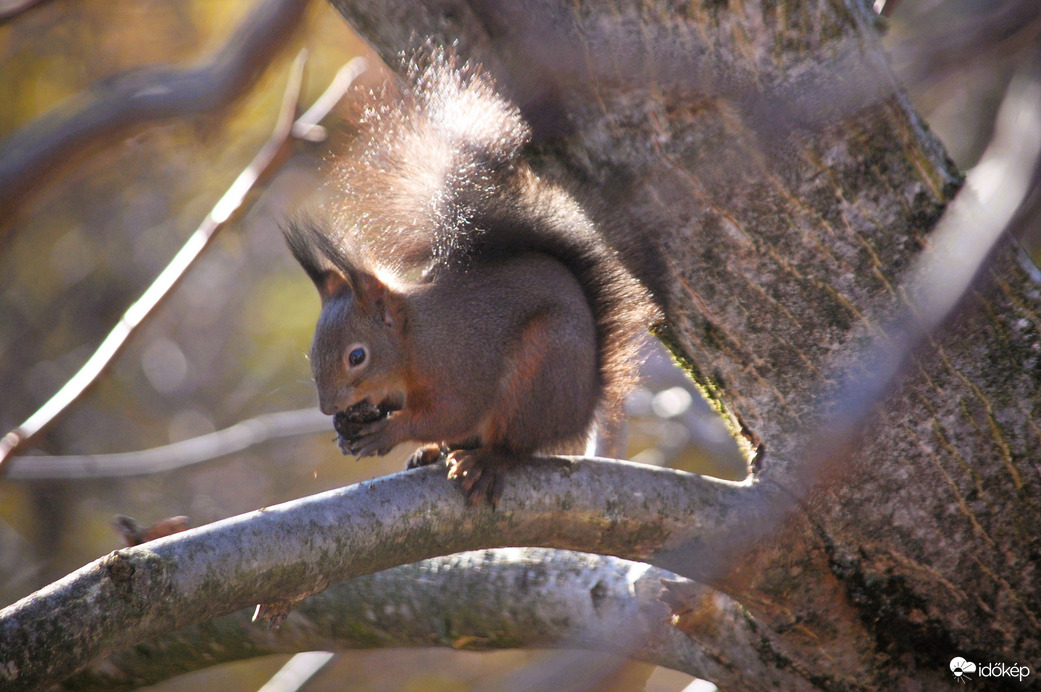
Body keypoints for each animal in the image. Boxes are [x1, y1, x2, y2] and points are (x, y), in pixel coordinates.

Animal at [283, 54, 657, 505]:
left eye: (357, 356)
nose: (328, 408)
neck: (412, 343)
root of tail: (582, 408)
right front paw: (348, 430)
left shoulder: (459, 365)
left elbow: (451, 412)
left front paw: (390, 431)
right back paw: (432, 452)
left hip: (539, 377)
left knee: (513, 445)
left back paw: (485, 461)